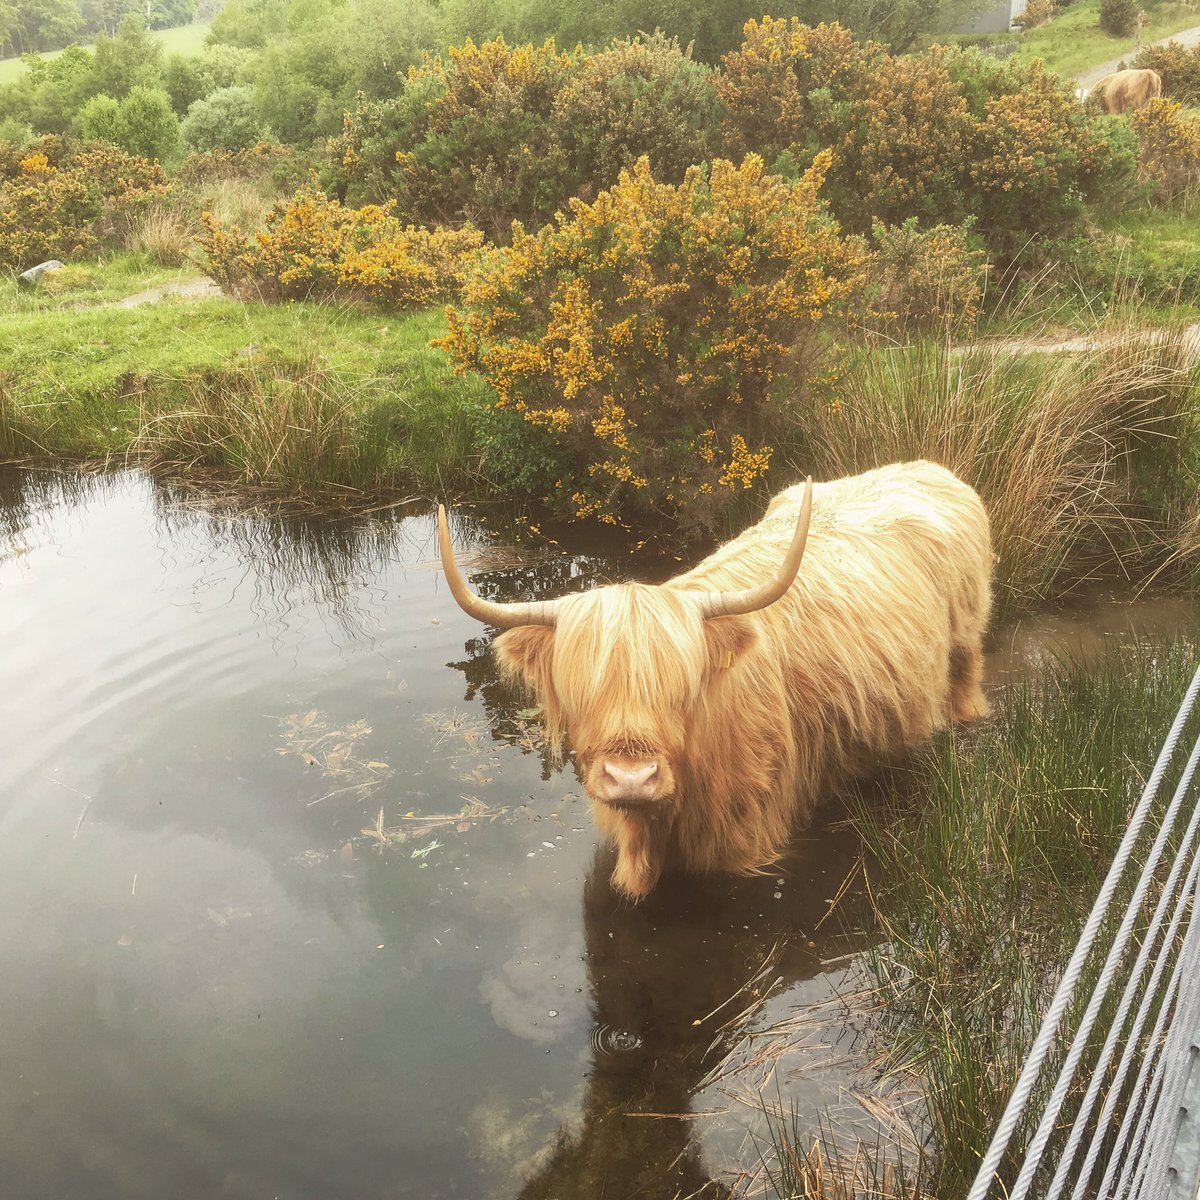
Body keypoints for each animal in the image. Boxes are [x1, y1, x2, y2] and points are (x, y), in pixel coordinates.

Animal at [438, 460, 993, 901]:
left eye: (680, 691)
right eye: (582, 691)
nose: (631, 778)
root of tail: (923, 467)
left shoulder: (745, 835)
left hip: (967, 630)